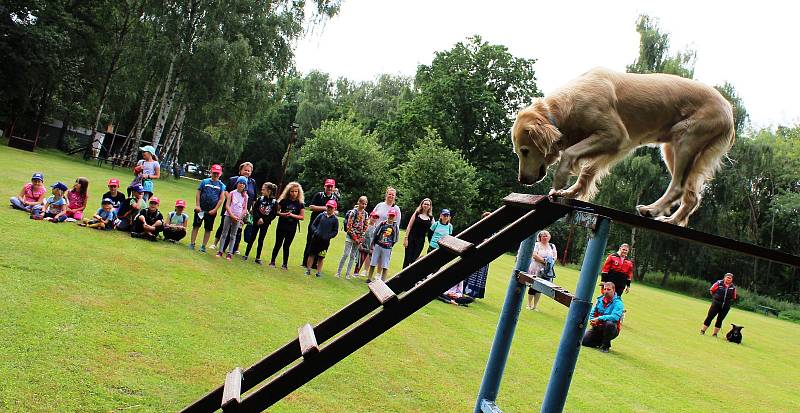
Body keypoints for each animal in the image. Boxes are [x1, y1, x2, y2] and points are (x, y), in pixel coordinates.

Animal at [516, 69, 736, 227]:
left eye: (525, 151)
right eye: (518, 152)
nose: (522, 181)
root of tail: (729, 109)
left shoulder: (615, 135)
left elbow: (570, 153)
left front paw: (560, 181)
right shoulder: (616, 146)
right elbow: (588, 171)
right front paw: (571, 193)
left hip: (685, 139)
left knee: (678, 188)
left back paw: (652, 210)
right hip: (673, 148)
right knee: (691, 196)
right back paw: (670, 220)